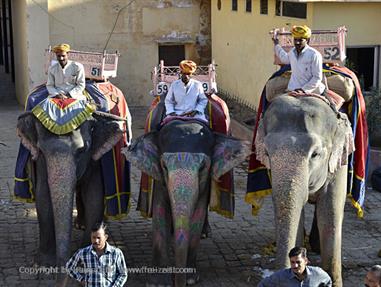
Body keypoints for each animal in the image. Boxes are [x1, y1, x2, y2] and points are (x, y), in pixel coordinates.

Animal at [15, 112, 124, 282]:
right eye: (41, 151)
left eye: (82, 150)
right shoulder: (40, 161)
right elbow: (43, 196)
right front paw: (44, 266)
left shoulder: (96, 157)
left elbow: (94, 196)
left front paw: (86, 260)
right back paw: (80, 224)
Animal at [123, 120, 251, 287]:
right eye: (164, 166)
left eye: (202, 167)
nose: (179, 281)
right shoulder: (159, 176)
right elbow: (160, 212)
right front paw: (158, 283)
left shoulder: (205, 183)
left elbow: (198, 215)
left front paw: (190, 278)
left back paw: (205, 232)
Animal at [251, 95, 354, 287]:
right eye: (267, 153)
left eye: (315, 154)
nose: (292, 266)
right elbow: (294, 210)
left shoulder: (339, 163)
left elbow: (330, 212)